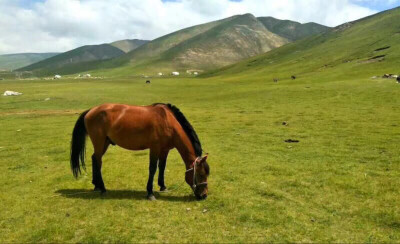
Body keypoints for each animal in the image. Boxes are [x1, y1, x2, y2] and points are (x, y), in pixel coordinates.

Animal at [69, 103, 209, 200]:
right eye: (201, 174)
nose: (204, 195)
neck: (167, 121)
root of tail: (91, 110)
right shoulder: (155, 148)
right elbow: (153, 168)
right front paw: (150, 193)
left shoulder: (164, 150)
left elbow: (162, 167)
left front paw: (163, 186)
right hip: (99, 142)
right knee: (98, 161)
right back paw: (103, 188)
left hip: (105, 143)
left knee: (94, 158)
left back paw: (96, 185)